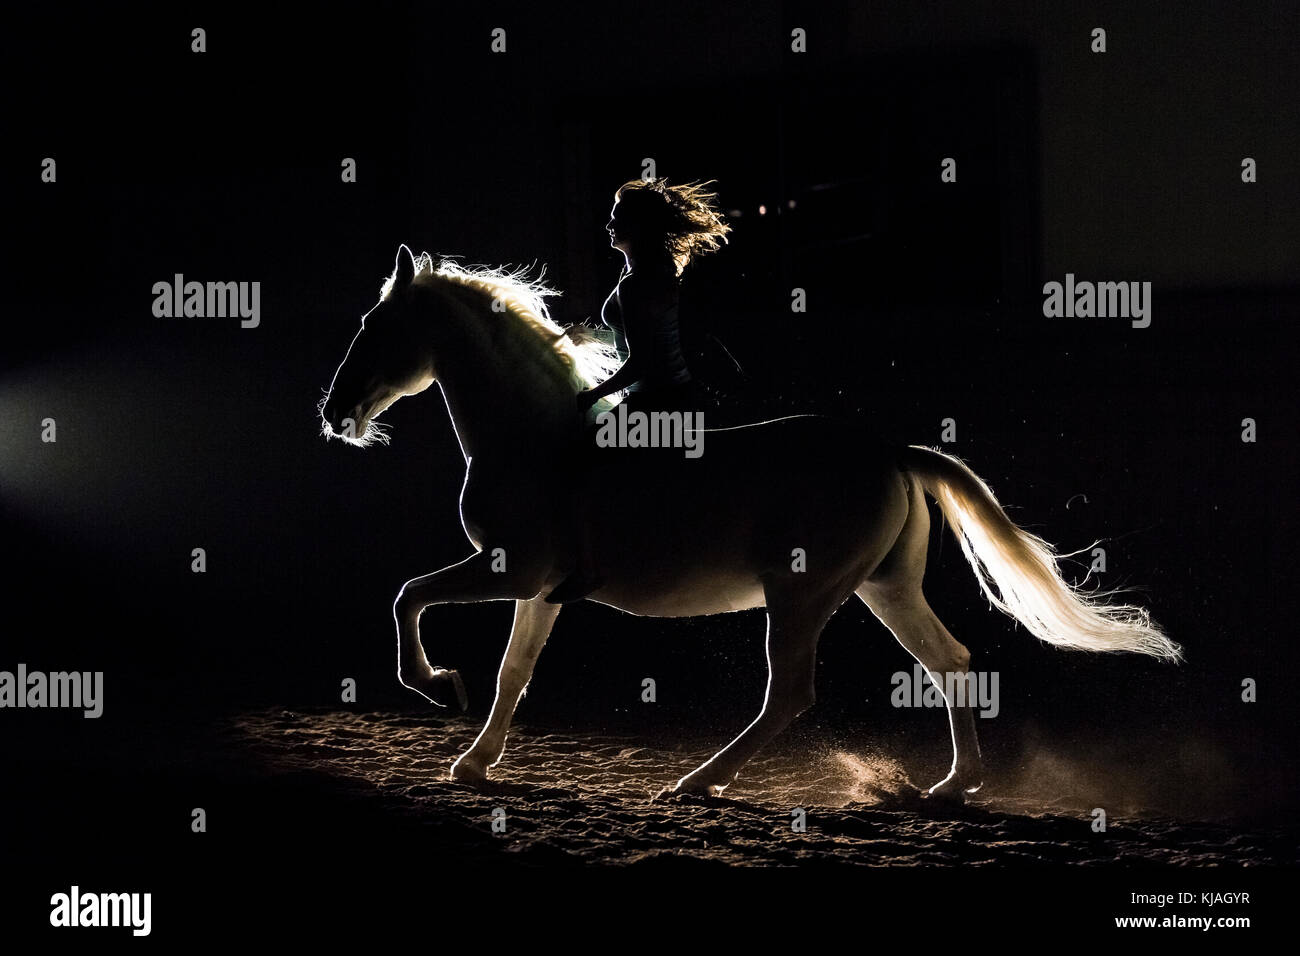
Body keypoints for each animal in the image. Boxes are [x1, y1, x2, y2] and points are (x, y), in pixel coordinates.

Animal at [317, 244, 1180, 801]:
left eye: (372, 329)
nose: (334, 415)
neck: (532, 437)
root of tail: (889, 451)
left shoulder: (511, 568)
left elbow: (407, 597)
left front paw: (435, 686)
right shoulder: (538, 587)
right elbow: (513, 672)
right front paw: (473, 762)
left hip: (801, 597)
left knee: (790, 693)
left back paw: (698, 782)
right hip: (883, 589)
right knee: (950, 660)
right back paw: (949, 787)